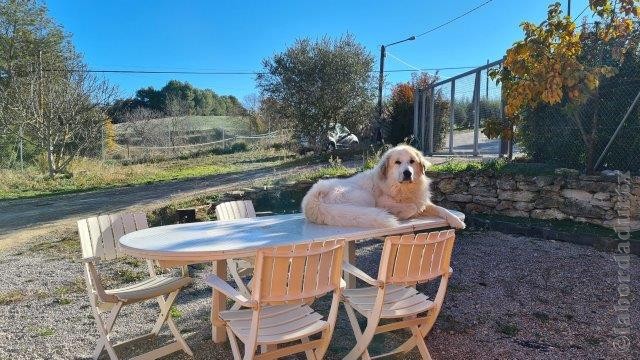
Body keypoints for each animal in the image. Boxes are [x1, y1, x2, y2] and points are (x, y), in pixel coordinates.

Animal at [300, 143, 464, 228]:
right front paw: (400, 214)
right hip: (365, 197)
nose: (407, 173)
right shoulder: (382, 202)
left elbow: (442, 209)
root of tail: (313, 199)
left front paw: (457, 221)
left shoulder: (422, 201)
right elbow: (412, 207)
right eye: (397, 162)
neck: (403, 188)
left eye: (412, 161)